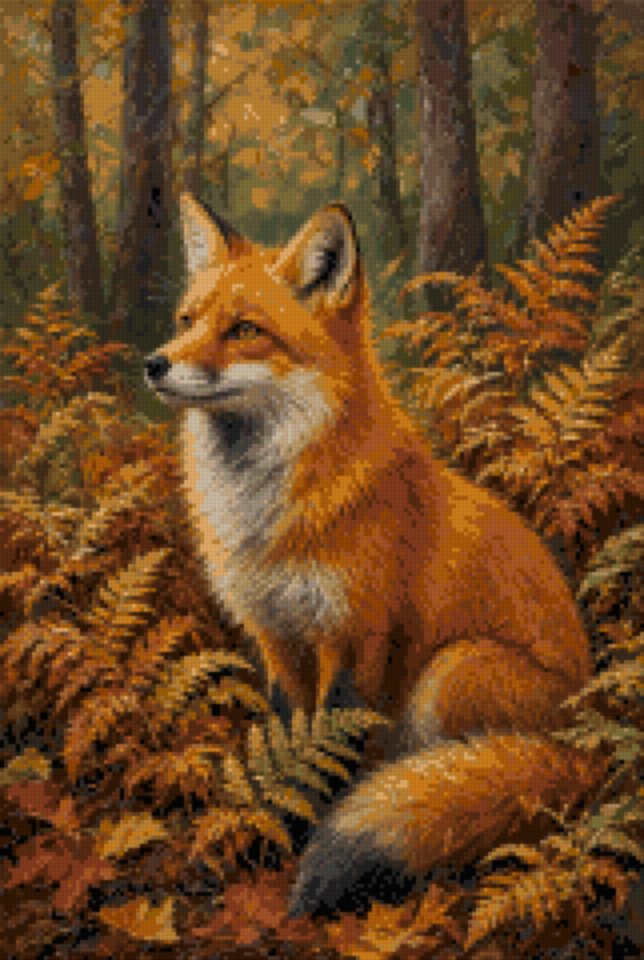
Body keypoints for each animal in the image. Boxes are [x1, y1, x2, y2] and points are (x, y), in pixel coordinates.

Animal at [145, 194, 602, 916]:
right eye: (186, 321)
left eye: (245, 330)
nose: (154, 362)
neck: (269, 520)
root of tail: (590, 748)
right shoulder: (276, 636)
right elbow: (291, 735)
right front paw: (278, 823)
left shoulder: (353, 637)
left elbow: (329, 748)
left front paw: (304, 835)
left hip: (453, 670)